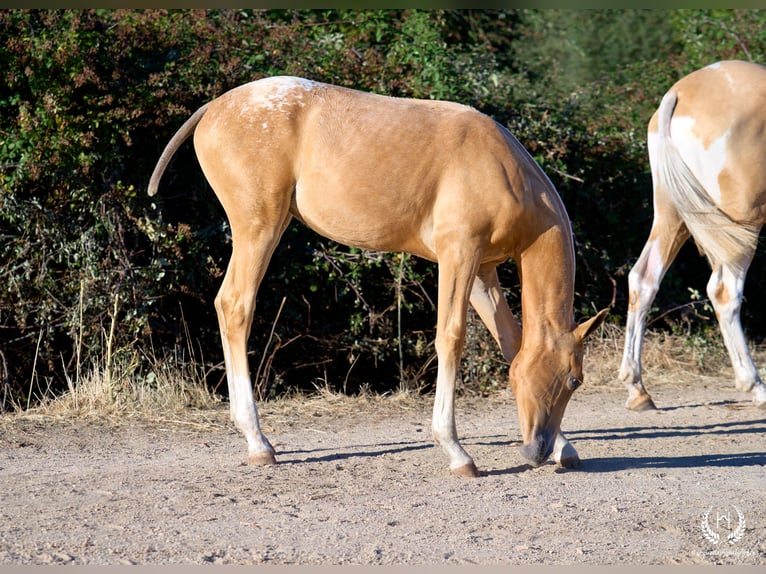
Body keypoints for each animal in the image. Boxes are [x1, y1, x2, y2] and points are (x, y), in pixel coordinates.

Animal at [149, 76, 608, 476]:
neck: (505, 170)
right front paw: (457, 452)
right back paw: (258, 442)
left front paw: (565, 447)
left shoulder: (482, 271)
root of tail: (214, 108)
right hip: (258, 229)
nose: (536, 450)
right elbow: (451, 338)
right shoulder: (459, 254)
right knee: (235, 306)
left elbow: (512, 345)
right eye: (575, 379)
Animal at [619, 60, 766, 411]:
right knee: (724, 292)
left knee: (643, 279)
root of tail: (680, 93)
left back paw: (638, 390)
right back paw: (755, 388)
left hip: (673, 216)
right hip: (740, 226)